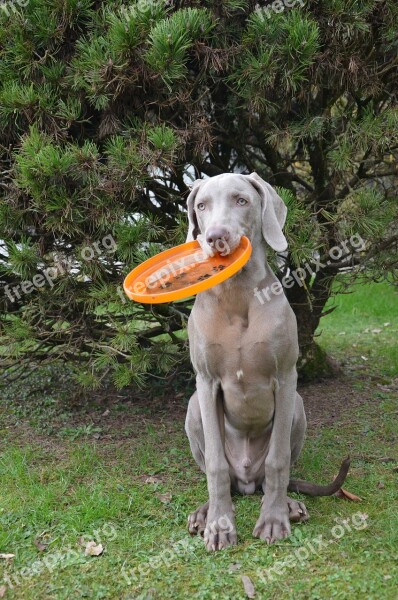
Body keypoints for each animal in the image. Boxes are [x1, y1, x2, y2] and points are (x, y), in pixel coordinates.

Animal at [183, 171, 348, 552]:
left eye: (241, 200)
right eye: (201, 206)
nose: (215, 238)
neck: (237, 294)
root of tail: (247, 480)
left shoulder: (286, 378)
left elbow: (278, 461)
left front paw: (273, 519)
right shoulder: (206, 382)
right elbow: (216, 466)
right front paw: (219, 525)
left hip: (298, 406)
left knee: (275, 468)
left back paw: (288, 503)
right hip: (193, 407)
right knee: (219, 472)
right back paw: (204, 513)